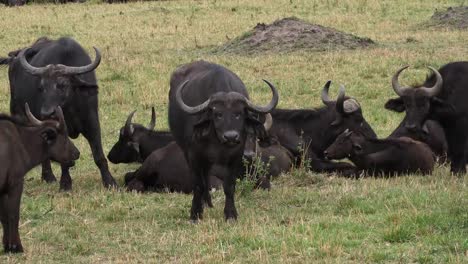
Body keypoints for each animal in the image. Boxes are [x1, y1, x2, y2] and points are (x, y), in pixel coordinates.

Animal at [0, 37, 117, 190]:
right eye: (41, 87)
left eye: (62, 85)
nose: (46, 113)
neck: (71, 108)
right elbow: (64, 159)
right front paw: (65, 184)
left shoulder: (92, 122)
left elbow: (99, 155)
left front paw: (110, 182)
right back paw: (48, 176)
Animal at [0, 104, 79, 253]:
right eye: (64, 135)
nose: (77, 153)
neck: (21, 141)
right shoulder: (16, 184)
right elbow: (13, 215)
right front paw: (16, 247)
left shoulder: (2, 191)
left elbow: (4, 218)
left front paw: (7, 247)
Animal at [168, 59, 278, 221]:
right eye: (218, 114)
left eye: (239, 114)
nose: (231, 136)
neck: (217, 141)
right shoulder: (194, 155)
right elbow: (198, 184)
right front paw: (195, 213)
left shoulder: (235, 157)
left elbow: (229, 185)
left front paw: (230, 214)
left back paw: (208, 202)